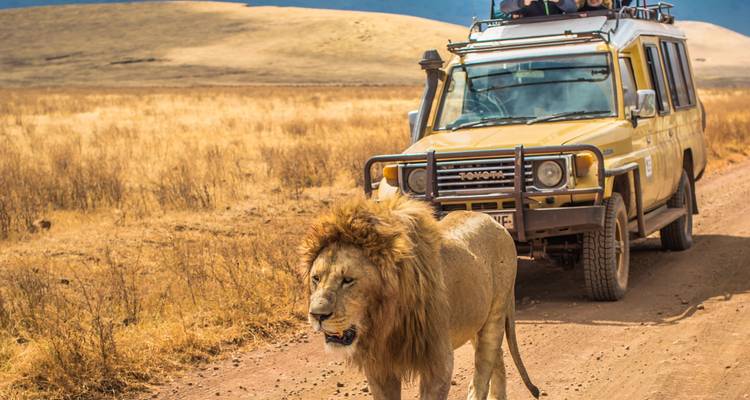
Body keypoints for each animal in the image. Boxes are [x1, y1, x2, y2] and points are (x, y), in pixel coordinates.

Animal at [301, 196, 540, 400]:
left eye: (348, 280)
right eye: (316, 278)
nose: (316, 315)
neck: (384, 322)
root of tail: (493, 220)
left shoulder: (438, 361)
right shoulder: (379, 366)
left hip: (495, 315)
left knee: (482, 372)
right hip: (475, 321)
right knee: (498, 359)